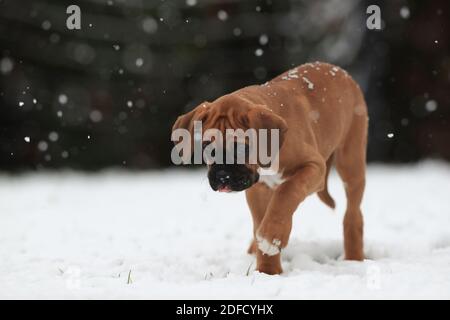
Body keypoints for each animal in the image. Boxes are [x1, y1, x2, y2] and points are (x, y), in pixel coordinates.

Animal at [171, 62, 368, 276]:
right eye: (207, 146)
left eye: (242, 147)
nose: (223, 176)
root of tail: (338, 70)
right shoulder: (258, 189)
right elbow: (263, 218)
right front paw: (268, 271)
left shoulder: (313, 167)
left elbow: (286, 194)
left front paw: (271, 239)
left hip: (351, 162)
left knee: (353, 215)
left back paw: (354, 257)